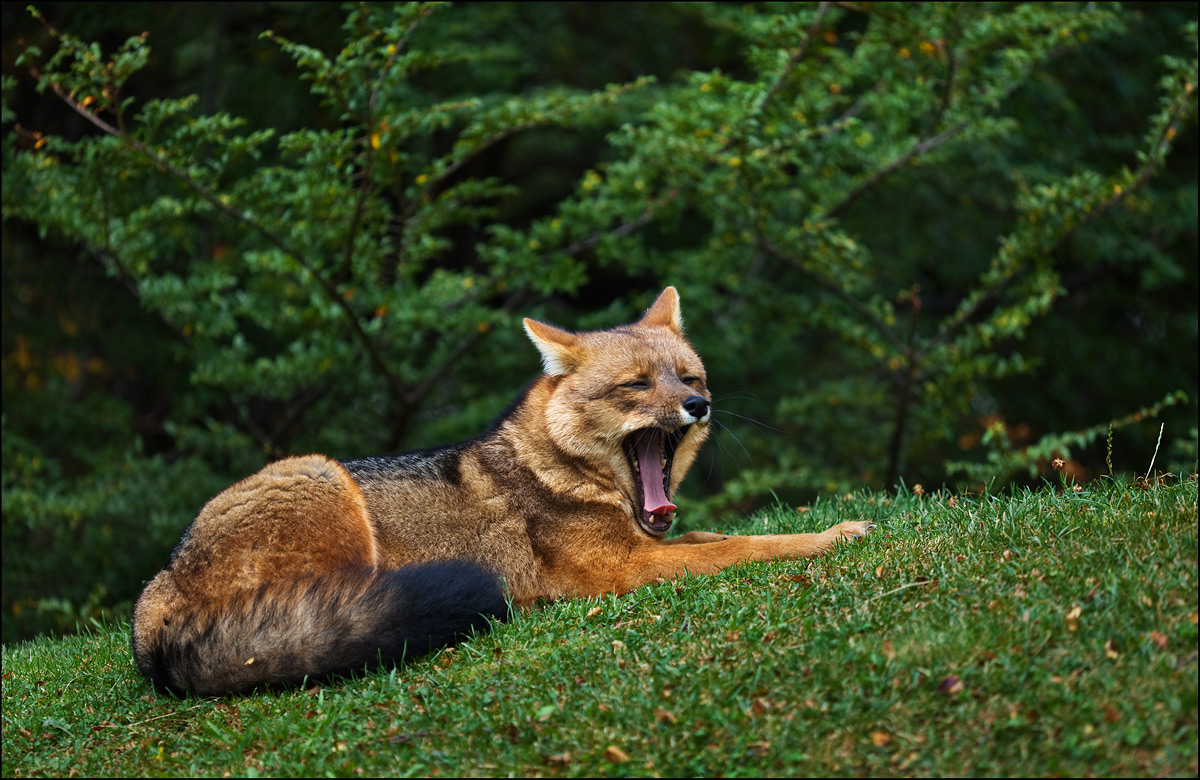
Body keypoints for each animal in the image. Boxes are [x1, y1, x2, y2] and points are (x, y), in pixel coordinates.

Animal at [131, 285, 878, 691]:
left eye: (689, 379)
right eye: (637, 386)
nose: (700, 407)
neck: (554, 468)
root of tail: (155, 593)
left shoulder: (651, 541)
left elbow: (717, 533)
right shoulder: (623, 568)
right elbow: (749, 545)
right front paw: (832, 534)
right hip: (321, 476)